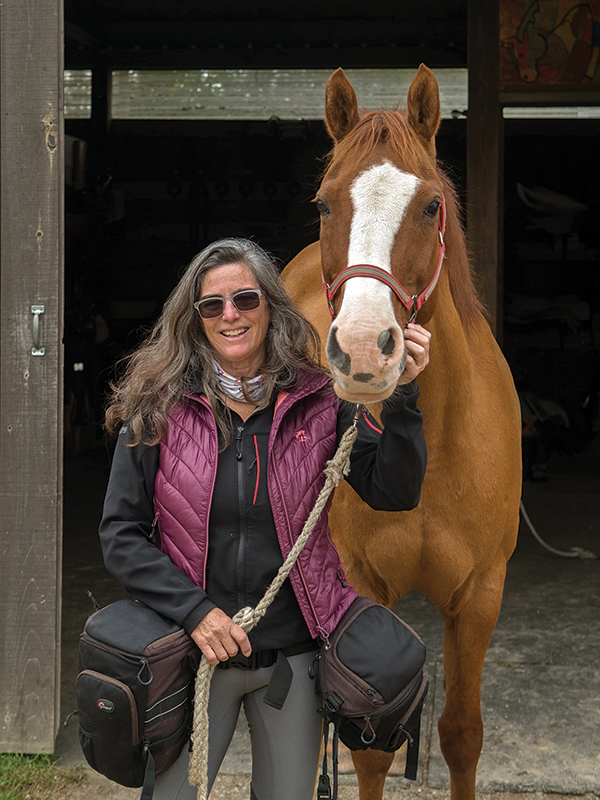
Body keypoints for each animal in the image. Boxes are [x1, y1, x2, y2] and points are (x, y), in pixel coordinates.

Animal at [281, 65, 522, 800]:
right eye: (325, 204)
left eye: (431, 206)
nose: (363, 350)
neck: (434, 447)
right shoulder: (364, 589)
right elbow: (368, 753)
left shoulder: (479, 596)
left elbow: (462, 735)